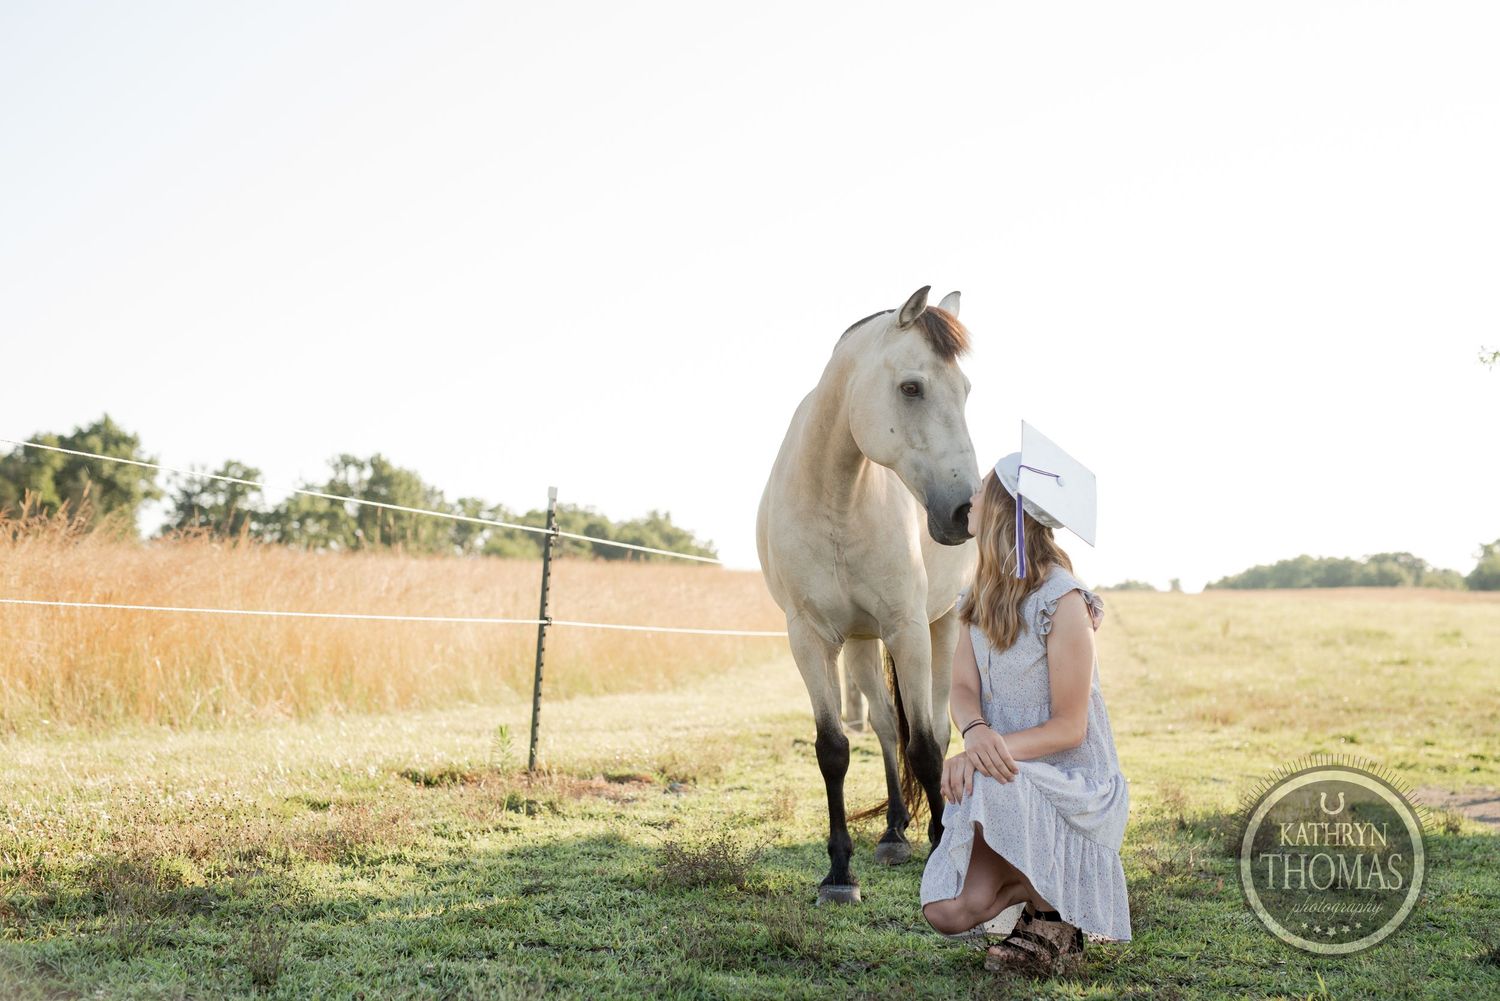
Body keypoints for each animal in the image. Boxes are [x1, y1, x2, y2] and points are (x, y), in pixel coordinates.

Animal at [756, 285, 979, 904]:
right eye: (912, 387)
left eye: (966, 391)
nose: (963, 511)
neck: (837, 497)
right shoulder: (809, 638)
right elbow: (833, 749)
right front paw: (839, 873)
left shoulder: (907, 629)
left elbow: (925, 744)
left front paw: (941, 845)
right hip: (858, 643)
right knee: (882, 725)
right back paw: (894, 832)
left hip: (940, 628)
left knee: (936, 727)